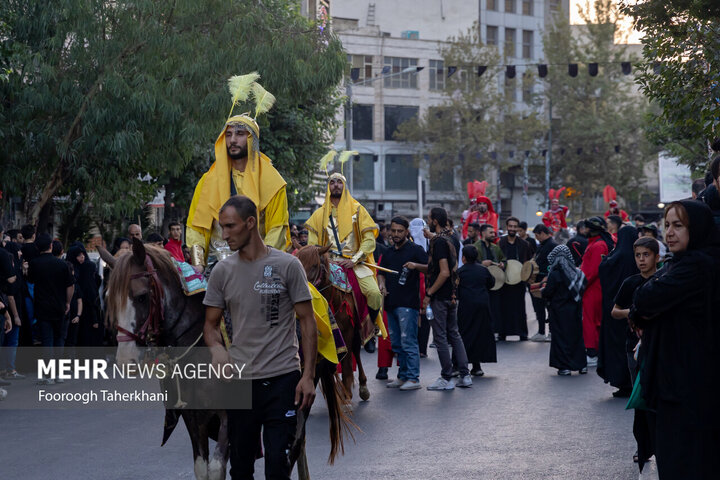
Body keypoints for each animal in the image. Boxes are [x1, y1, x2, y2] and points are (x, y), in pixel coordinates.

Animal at [107, 240, 352, 480]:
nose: (126, 360)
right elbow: (201, 468)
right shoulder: (193, 417)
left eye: (141, 296)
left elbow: (217, 469)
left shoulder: (228, 416)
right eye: (110, 300)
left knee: (292, 447)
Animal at [296, 246, 372, 404]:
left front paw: (347, 392)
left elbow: (347, 362)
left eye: (314, 265)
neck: (333, 298)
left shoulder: (347, 331)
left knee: (356, 351)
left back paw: (362, 387)